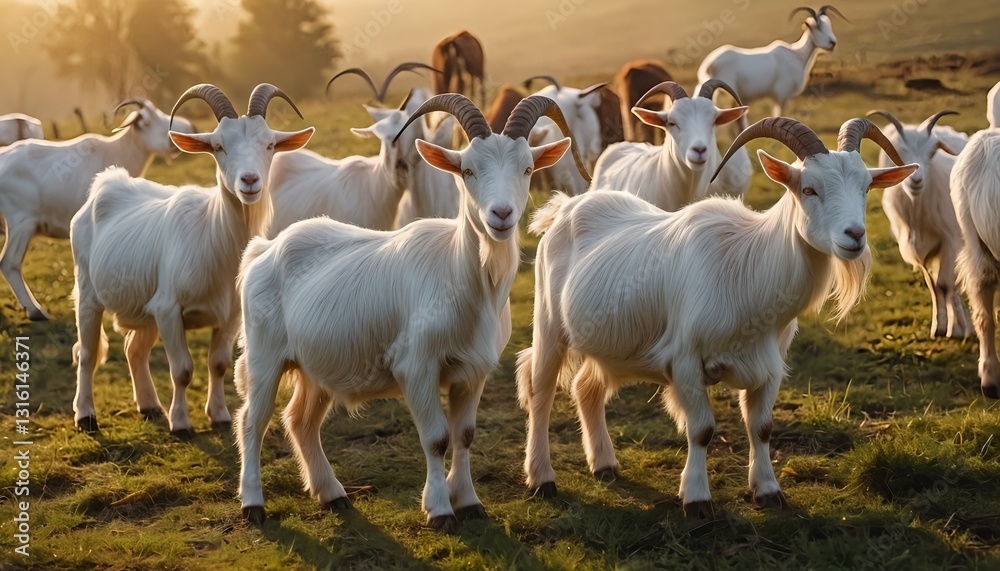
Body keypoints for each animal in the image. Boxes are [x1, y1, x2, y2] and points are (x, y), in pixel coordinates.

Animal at [0, 99, 195, 321]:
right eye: (145, 121)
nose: (187, 129)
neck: (116, 150)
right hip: (21, 223)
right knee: (9, 263)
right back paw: (35, 310)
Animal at [70, 84, 313, 436]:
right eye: (219, 146)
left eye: (269, 144)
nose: (250, 181)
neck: (212, 234)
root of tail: (107, 182)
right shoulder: (169, 308)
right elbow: (182, 369)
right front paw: (181, 423)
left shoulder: (230, 315)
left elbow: (219, 364)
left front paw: (220, 415)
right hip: (88, 289)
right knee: (88, 352)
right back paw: (86, 415)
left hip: (145, 305)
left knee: (134, 350)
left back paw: (150, 406)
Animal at [234, 94, 589, 532]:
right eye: (467, 170)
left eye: (526, 169)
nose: (502, 215)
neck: (459, 278)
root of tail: (262, 251)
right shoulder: (416, 366)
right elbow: (436, 438)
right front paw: (439, 510)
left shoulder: (474, 371)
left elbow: (464, 434)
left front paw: (469, 502)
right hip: (264, 354)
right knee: (252, 420)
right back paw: (253, 505)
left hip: (317, 363)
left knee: (300, 420)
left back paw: (333, 495)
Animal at [518, 117, 915, 518]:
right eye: (809, 189)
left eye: (865, 188)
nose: (855, 235)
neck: (745, 268)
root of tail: (565, 208)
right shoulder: (685, 361)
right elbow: (702, 430)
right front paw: (697, 499)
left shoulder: (770, 365)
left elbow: (762, 427)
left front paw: (768, 491)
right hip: (549, 325)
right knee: (541, 392)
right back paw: (541, 479)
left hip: (609, 344)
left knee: (587, 388)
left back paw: (604, 465)